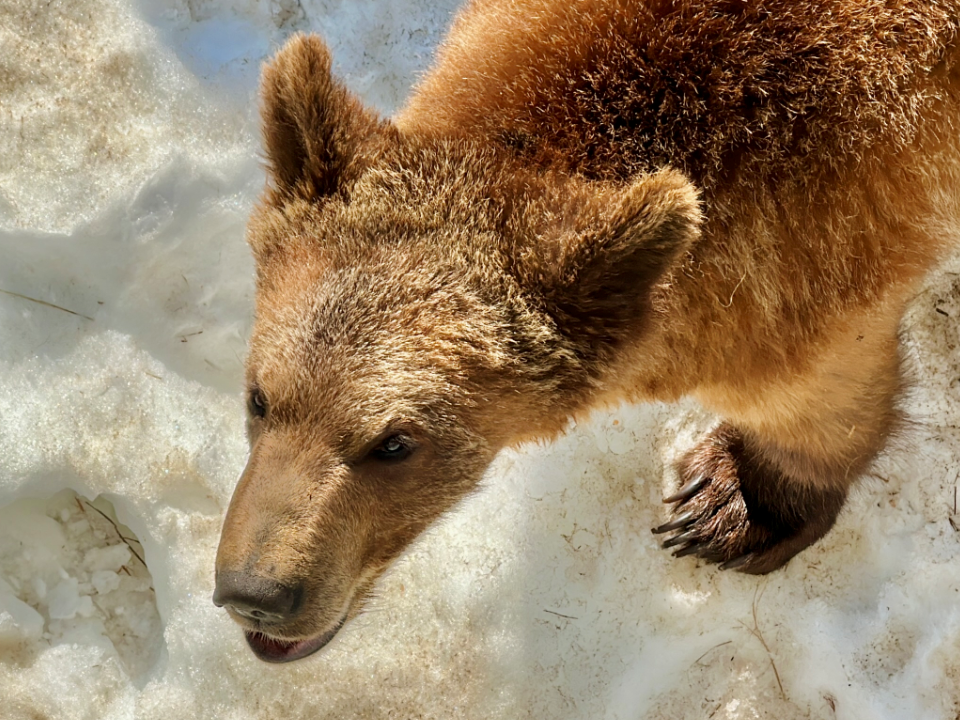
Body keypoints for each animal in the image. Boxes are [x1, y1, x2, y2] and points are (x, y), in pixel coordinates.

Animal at [214, 0, 960, 664]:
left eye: (395, 444)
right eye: (259, 398)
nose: (256, 594)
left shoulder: (827, 241)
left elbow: (816, 395)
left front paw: (730, 506)